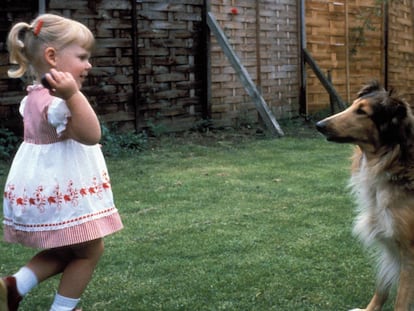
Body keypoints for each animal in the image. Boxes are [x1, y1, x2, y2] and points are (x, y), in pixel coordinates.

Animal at [316, 81, 414, 311]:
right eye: (353, 106)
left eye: (362, 112)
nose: (318, 125)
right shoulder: (389, 244)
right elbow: (382, 286)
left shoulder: (409, 255)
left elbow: (401, 302)